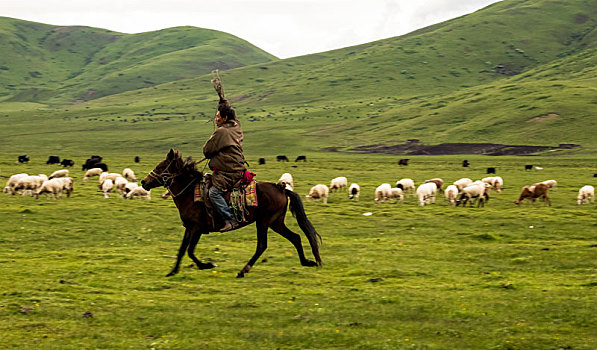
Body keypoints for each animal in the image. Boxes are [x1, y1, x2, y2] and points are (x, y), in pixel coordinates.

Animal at [141, 149, 322, 278]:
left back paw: (243, 271)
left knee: (262, 245)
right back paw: (308, 262)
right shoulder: (189, 228)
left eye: (160, 167)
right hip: (276, 222)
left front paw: (207, 265)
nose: (143, 182)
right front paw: (172, 272)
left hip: (264, 221)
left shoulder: (197, 228)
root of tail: (281, 188)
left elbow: (190, 251)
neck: (190, 194)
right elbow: (182, 250)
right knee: (295, 238)